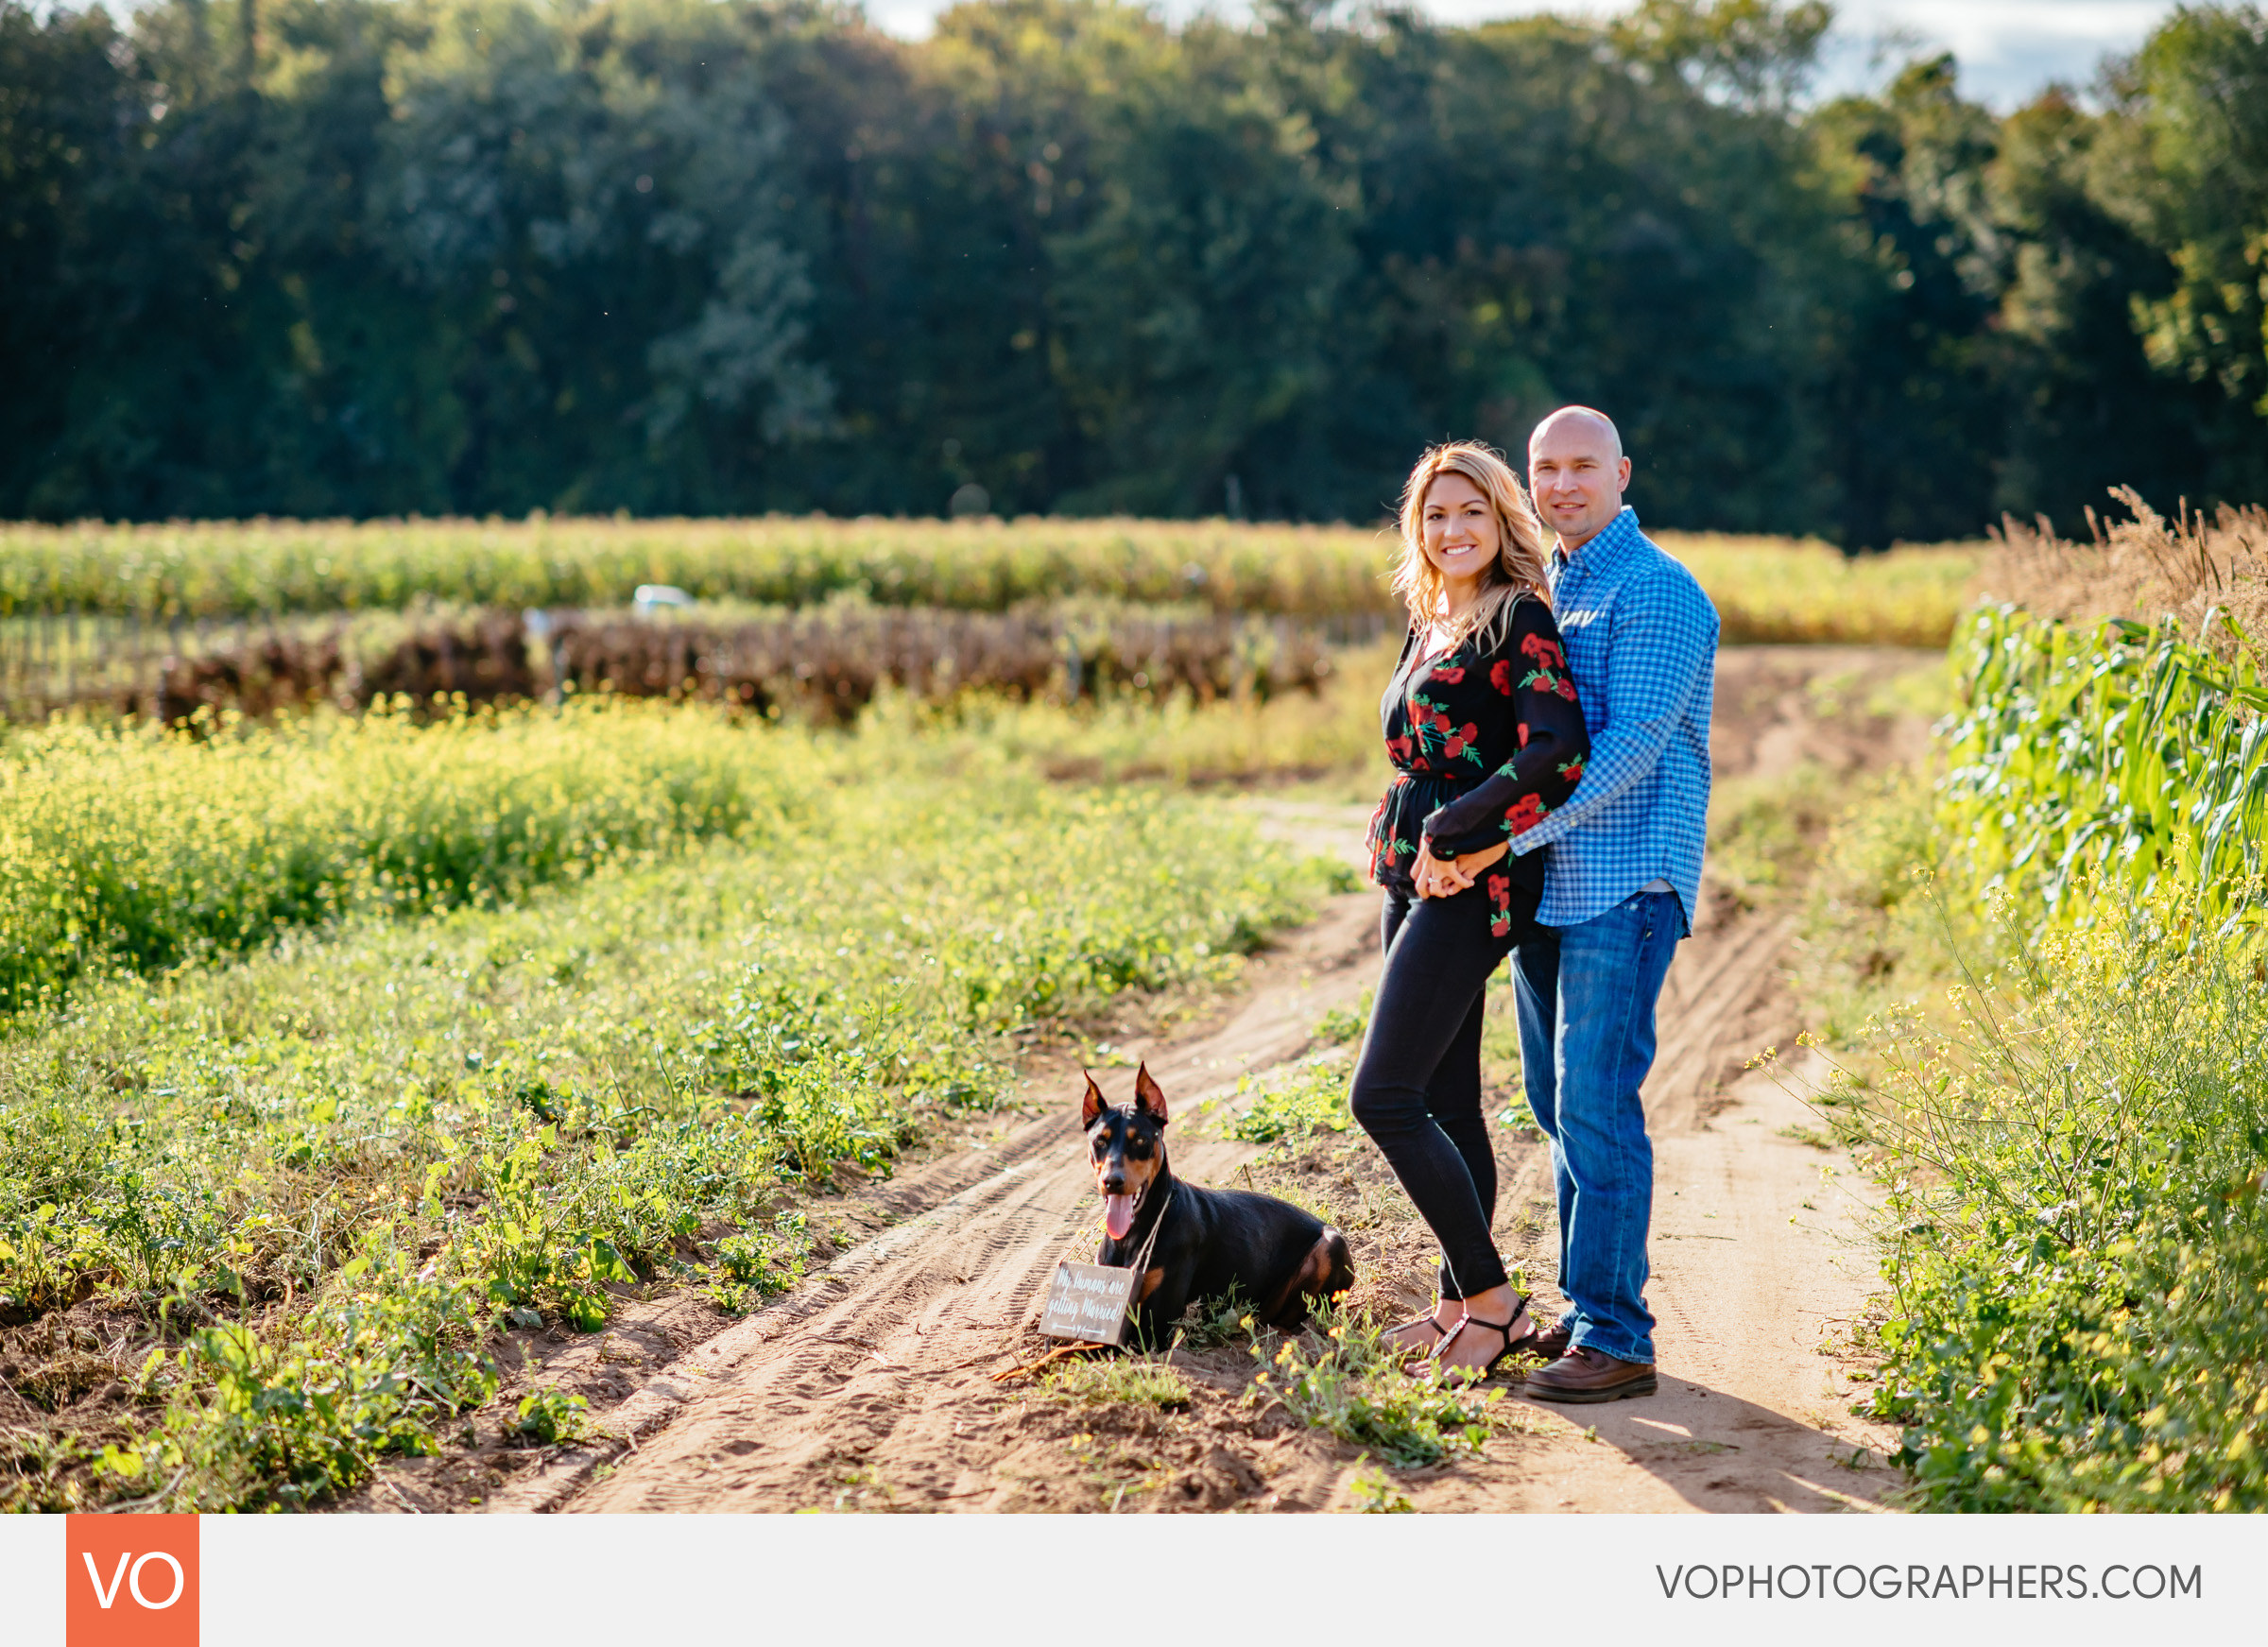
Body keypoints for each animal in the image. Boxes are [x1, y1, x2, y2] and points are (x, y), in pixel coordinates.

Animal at [1079, 1066, 1342, 1351]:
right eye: (1100, 1141)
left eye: (1139, 1139)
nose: (1112, 1181)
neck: (1135, 1232)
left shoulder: (1152, 1331)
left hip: (1331, 1245)